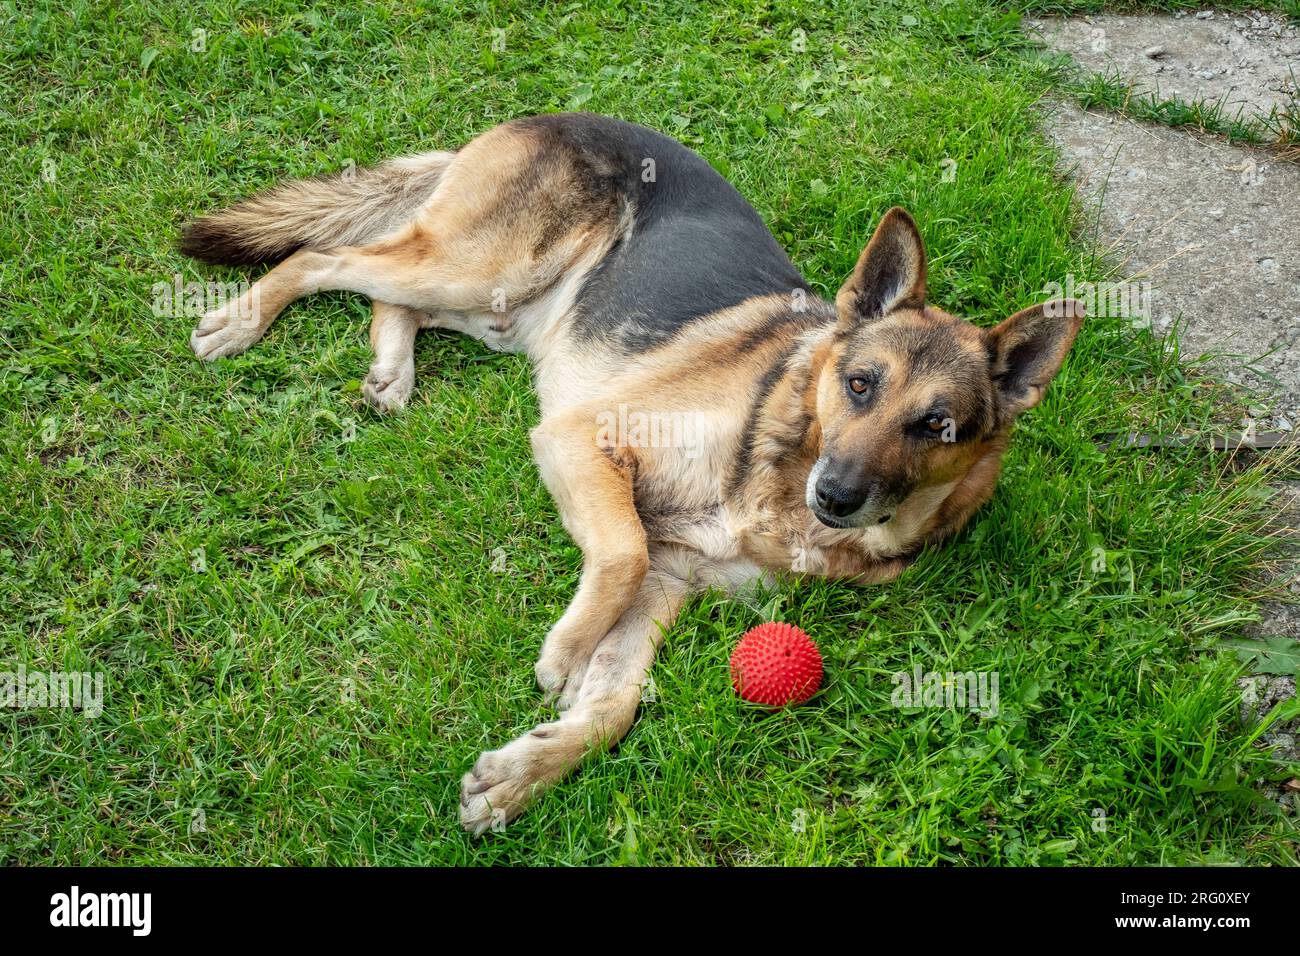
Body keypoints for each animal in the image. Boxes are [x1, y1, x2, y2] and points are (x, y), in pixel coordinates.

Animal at [178, 111, 1081, 832]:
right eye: (860, 385)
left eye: (937, 427)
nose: (837, 495)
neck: (778, 477)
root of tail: (541, 115)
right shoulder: (585, 441)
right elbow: (620, 552)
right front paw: (565, 651)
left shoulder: (671, 582)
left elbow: (616, 700)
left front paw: (527, 772)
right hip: (481, 268)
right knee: (326, 256)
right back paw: (242, 319)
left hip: (499, 310)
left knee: (389, 298)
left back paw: (391, 369)